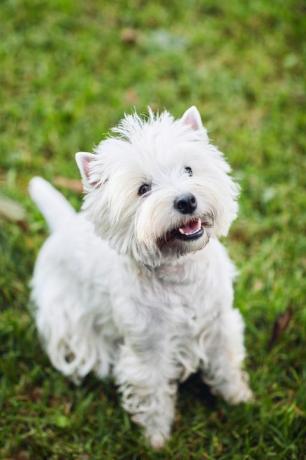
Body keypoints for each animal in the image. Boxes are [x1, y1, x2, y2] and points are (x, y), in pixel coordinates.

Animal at [29, 107, 252, 446]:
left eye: (189, 169)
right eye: (143, 189)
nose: (186, 200)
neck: (179, 274)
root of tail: (63, 223)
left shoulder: (219, 324)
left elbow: (226, 362)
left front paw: (239, 397)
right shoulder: (148, 349)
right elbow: (152, 392)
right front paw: (157, 438)